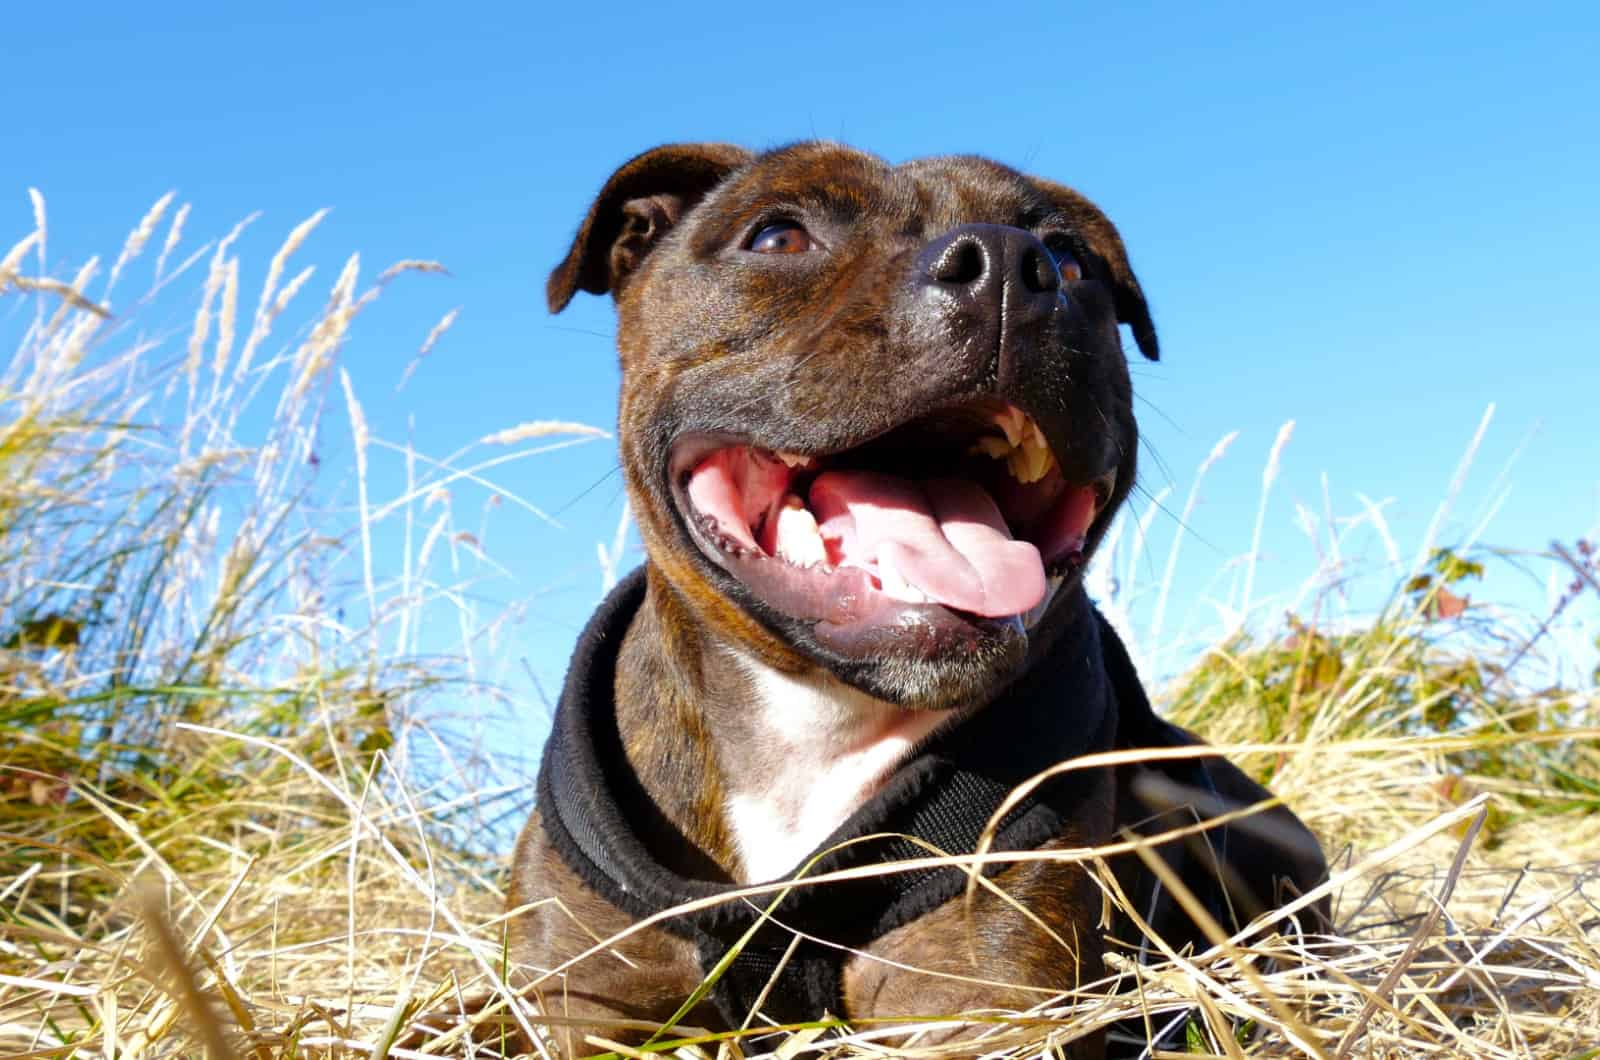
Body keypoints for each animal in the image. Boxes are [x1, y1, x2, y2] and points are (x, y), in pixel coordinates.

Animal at [489, 145, 1337, 1056]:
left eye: (1069, 257)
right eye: (778, 235)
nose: (1009, 264)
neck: (812, 727)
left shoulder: (982, 1000)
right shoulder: (588, 1002)